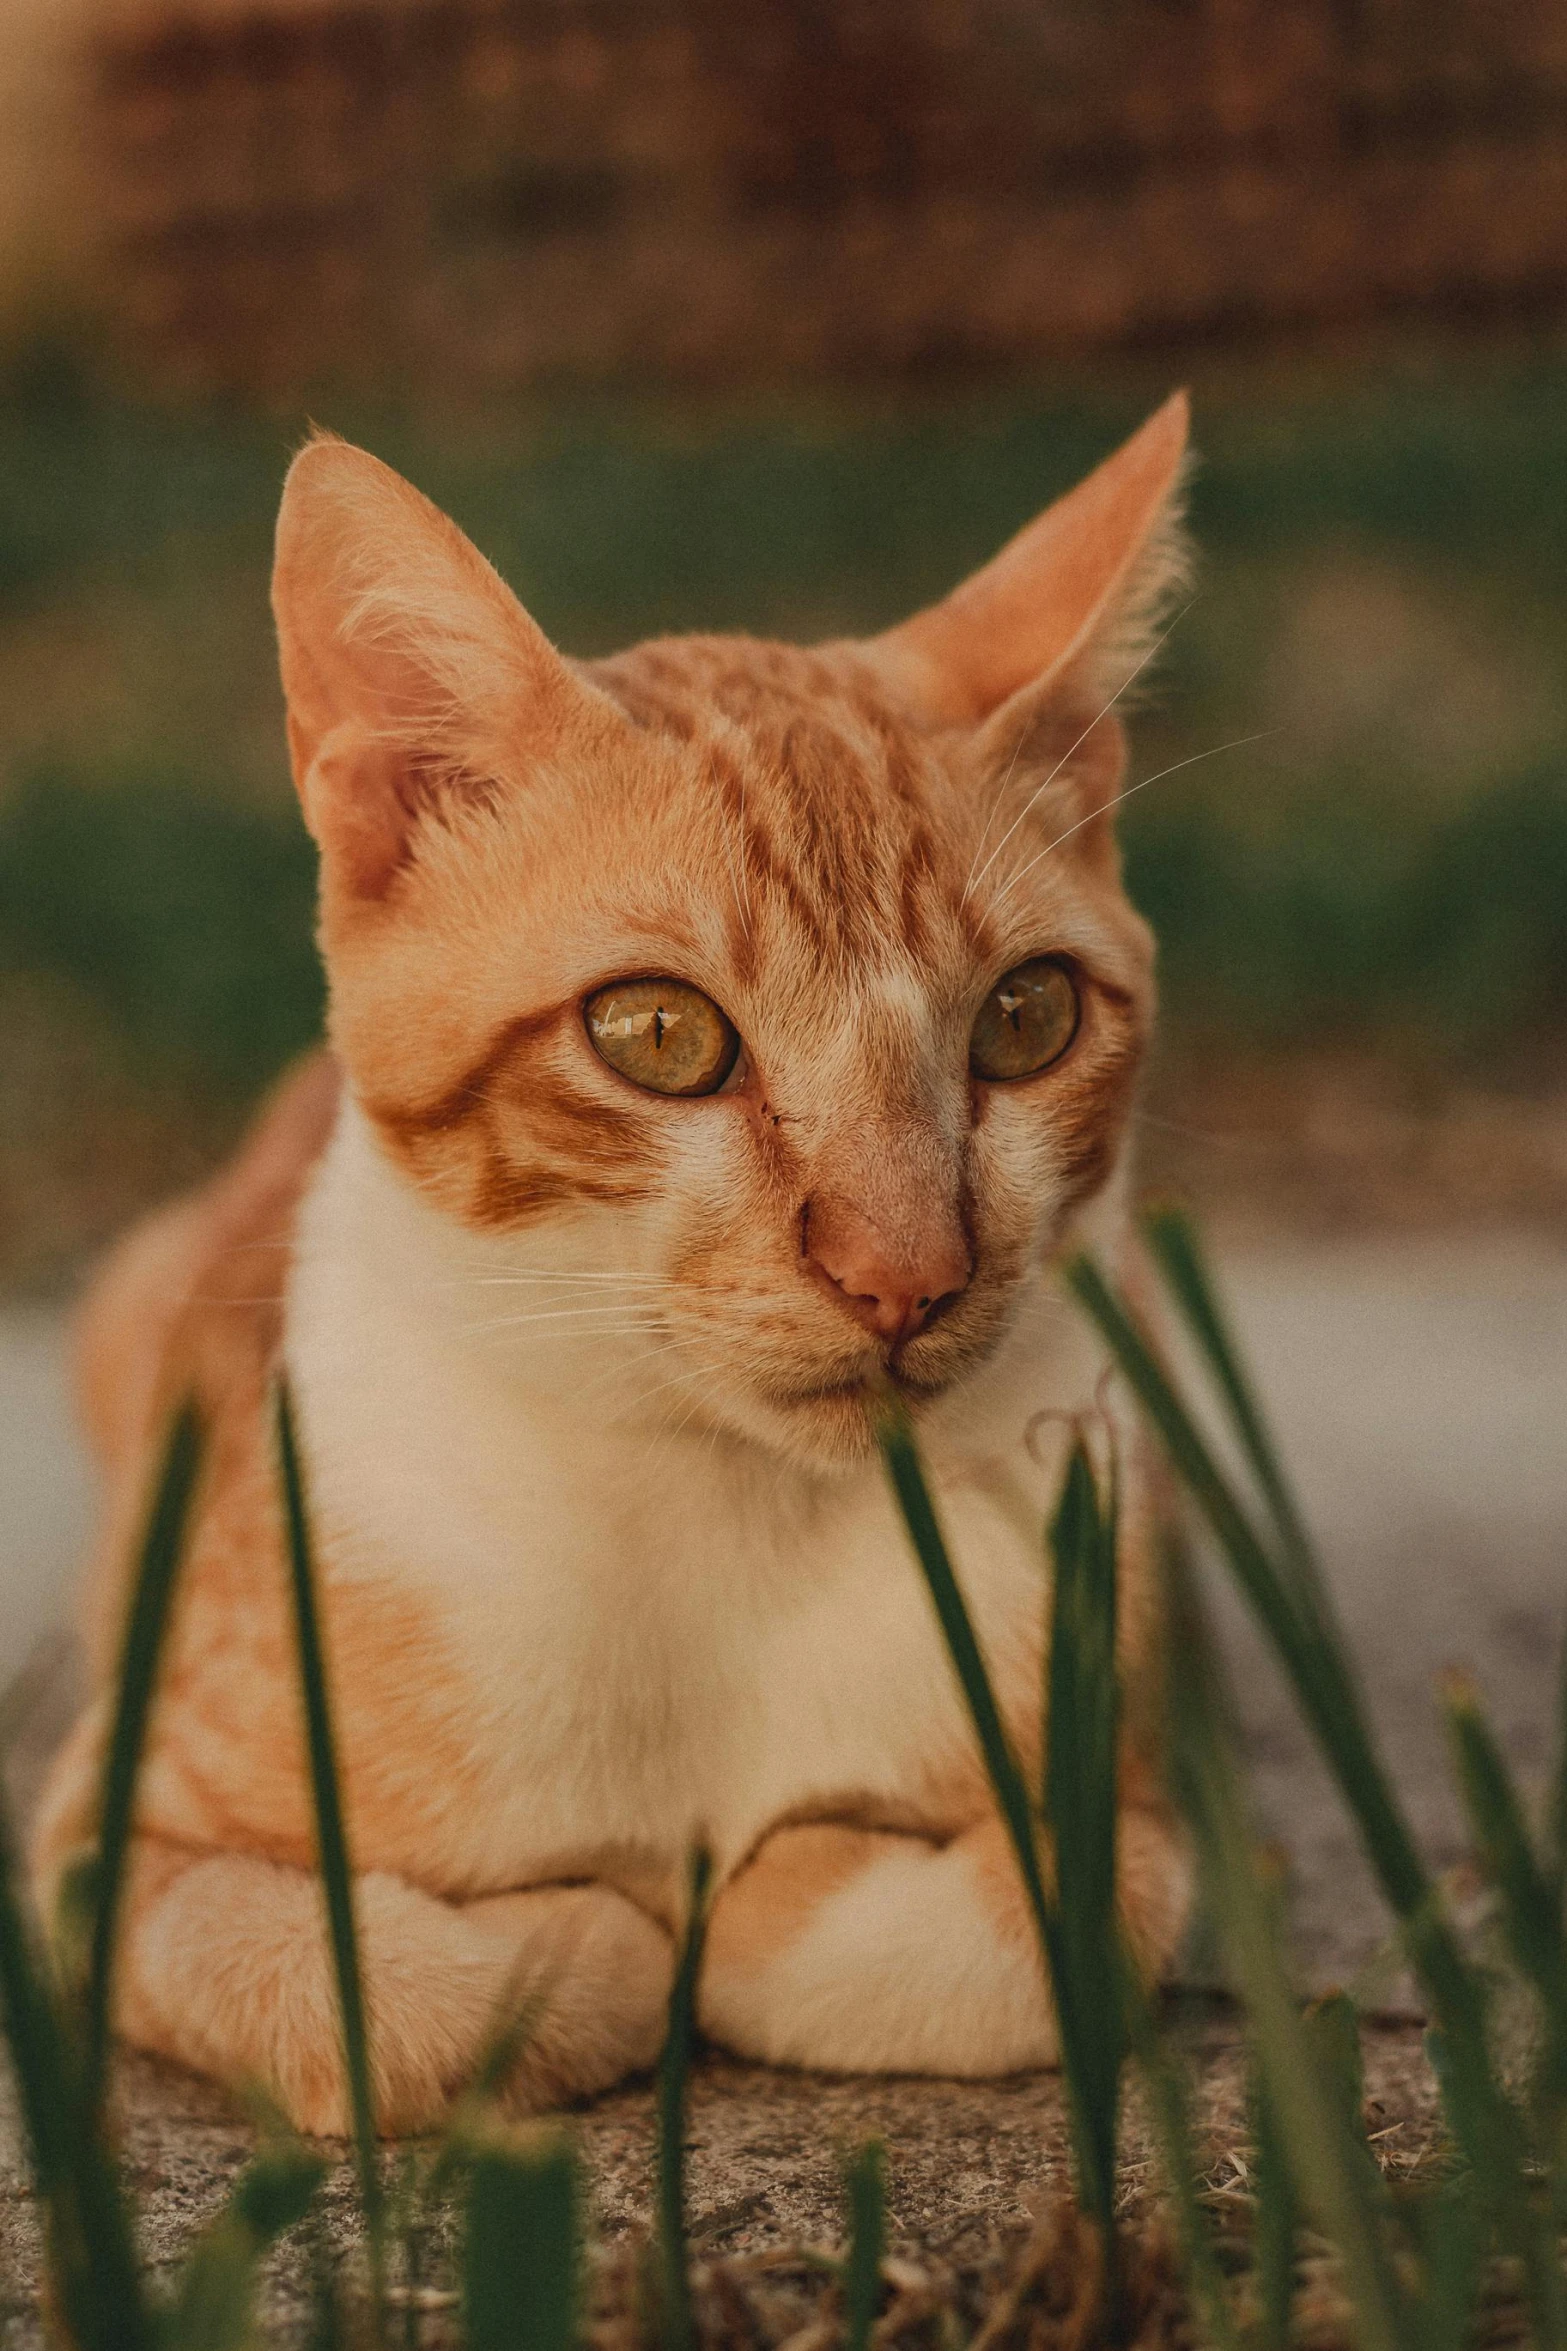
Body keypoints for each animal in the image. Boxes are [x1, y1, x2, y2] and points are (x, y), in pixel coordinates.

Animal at [33, 399, 1188, 2134]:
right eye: (656, 1033)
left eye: (1024, 1018)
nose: (904, 1269)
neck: (724, 1523)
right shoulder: (108, 1829)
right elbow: (389, 1992)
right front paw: (601, 1932)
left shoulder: (1158, 1793)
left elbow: (1065, 1919)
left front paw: (755, 1892)